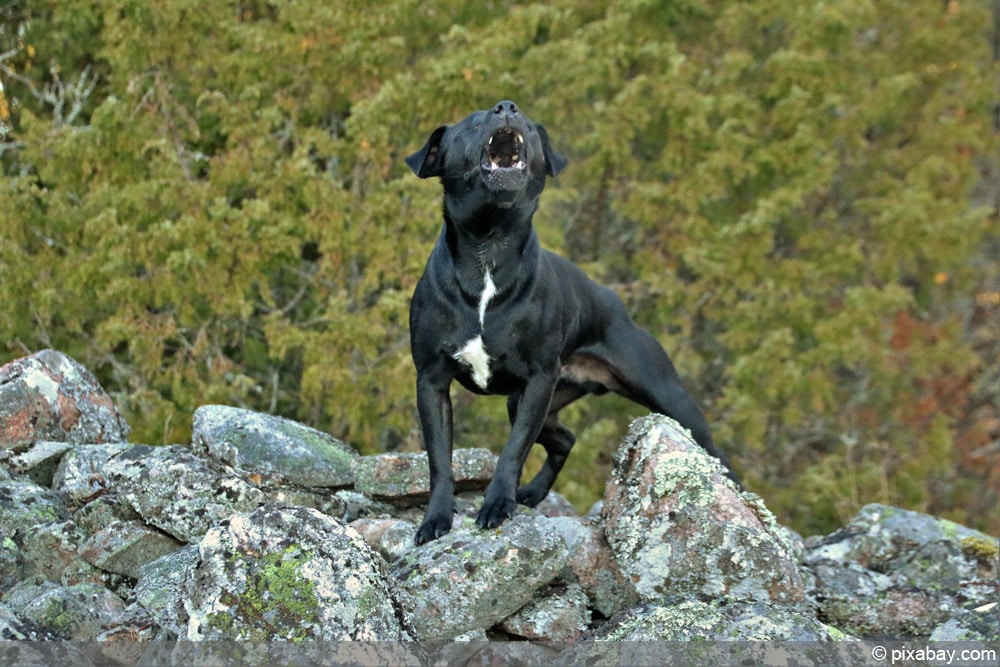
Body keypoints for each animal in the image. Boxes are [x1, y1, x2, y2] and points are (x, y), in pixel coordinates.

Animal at [404, 102, 736, 544]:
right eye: (472, 123)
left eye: (528, 125)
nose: (506, 107)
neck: (490, 246)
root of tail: (613, 300)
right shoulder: (433, 380)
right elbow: (440, 459)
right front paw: (436, 519)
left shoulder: (538, 379)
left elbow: (513, 450)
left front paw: (497, 504)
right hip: (532, 399)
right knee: (565, 439)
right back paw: (533, 492)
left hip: (665, 394)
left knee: (714, 452)